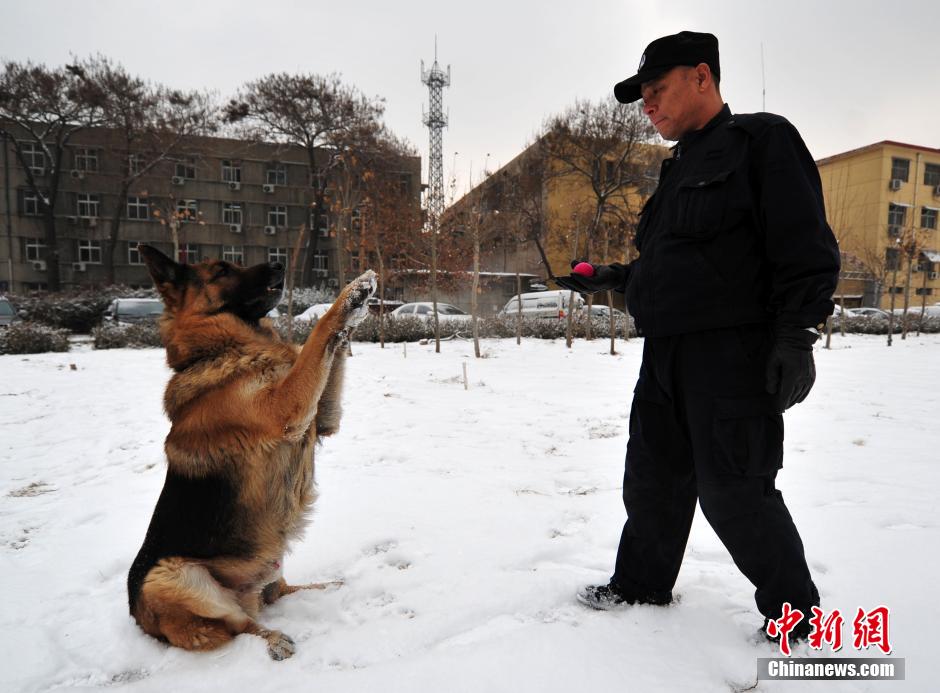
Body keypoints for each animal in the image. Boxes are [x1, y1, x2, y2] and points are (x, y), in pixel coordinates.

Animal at [127, 245, 374, 660]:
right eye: (222, 270)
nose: (279, 263)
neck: (224, 349)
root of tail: (141, 621)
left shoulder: (322, 418)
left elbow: (328, 345)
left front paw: (358, 304)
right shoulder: (287, 408)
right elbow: (317, 334)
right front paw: (350, 293)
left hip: (270, 566)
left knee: (278, 593)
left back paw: (324, 588)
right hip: (173, 576)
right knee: (241, 624)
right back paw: (273, 639)